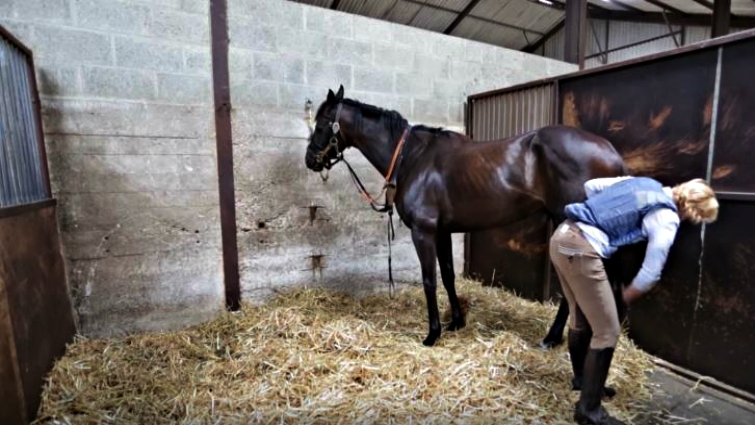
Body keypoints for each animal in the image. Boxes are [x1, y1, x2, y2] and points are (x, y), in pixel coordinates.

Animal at [304, 85, 631, 347]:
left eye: (321, 124)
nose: (310, 160)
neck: (412, 157)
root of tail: (611, 152)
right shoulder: (443, 231)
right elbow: (448, 275)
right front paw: (456, 322)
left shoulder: (423, 232)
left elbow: (429, 280)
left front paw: (432, 334)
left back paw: (555, 338)